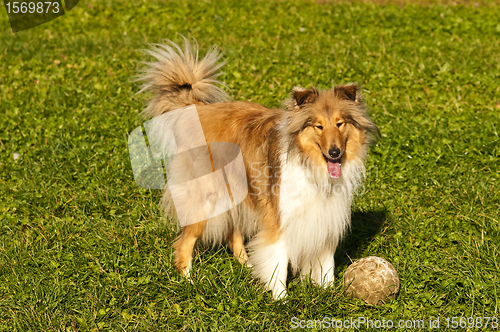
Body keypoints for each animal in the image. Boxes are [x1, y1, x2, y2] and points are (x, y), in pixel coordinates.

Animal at [137, 39, 378, 298]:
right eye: (318, 126)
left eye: (340, 123)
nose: (335, 153)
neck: (309, 163)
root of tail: (198, 108)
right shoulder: (279, 216)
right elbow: (279, 260)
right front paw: (281, 299)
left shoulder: (325, 216)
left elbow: (326, 263)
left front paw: (328, 294)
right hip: (206, 196)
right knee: (185, 242)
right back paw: (189, 281)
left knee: (233, 233)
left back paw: (247, 266)